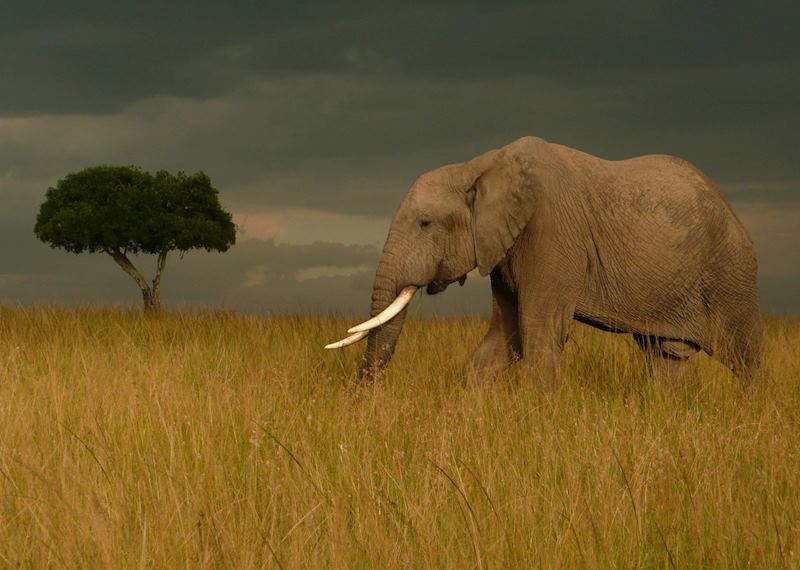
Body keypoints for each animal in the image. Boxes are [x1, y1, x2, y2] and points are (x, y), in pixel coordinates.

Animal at [324, 135, 764, 384]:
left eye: (425, 222)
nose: (363, 403)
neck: (480, 164)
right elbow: (506, 336)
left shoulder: (552, 233)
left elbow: (540, 331)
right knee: (664, 359)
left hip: (731, 273)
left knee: (744, 358)